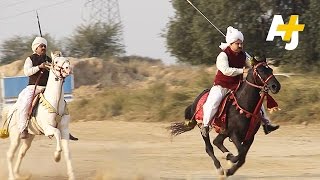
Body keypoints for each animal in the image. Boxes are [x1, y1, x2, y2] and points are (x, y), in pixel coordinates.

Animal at [1, 51, 74, 180]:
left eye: (67, 60)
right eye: (56, 61)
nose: (68, 69)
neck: (55, 102)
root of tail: (11, 110)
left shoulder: (65, 130)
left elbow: (67, 153)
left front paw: (71, 175)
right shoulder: (48, 128)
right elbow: (57, 133)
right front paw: (56, 157)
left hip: (29, 137)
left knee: (21, 153)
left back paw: (18, 174)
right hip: (15, 136)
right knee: (10, 154)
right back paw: (12, 176)